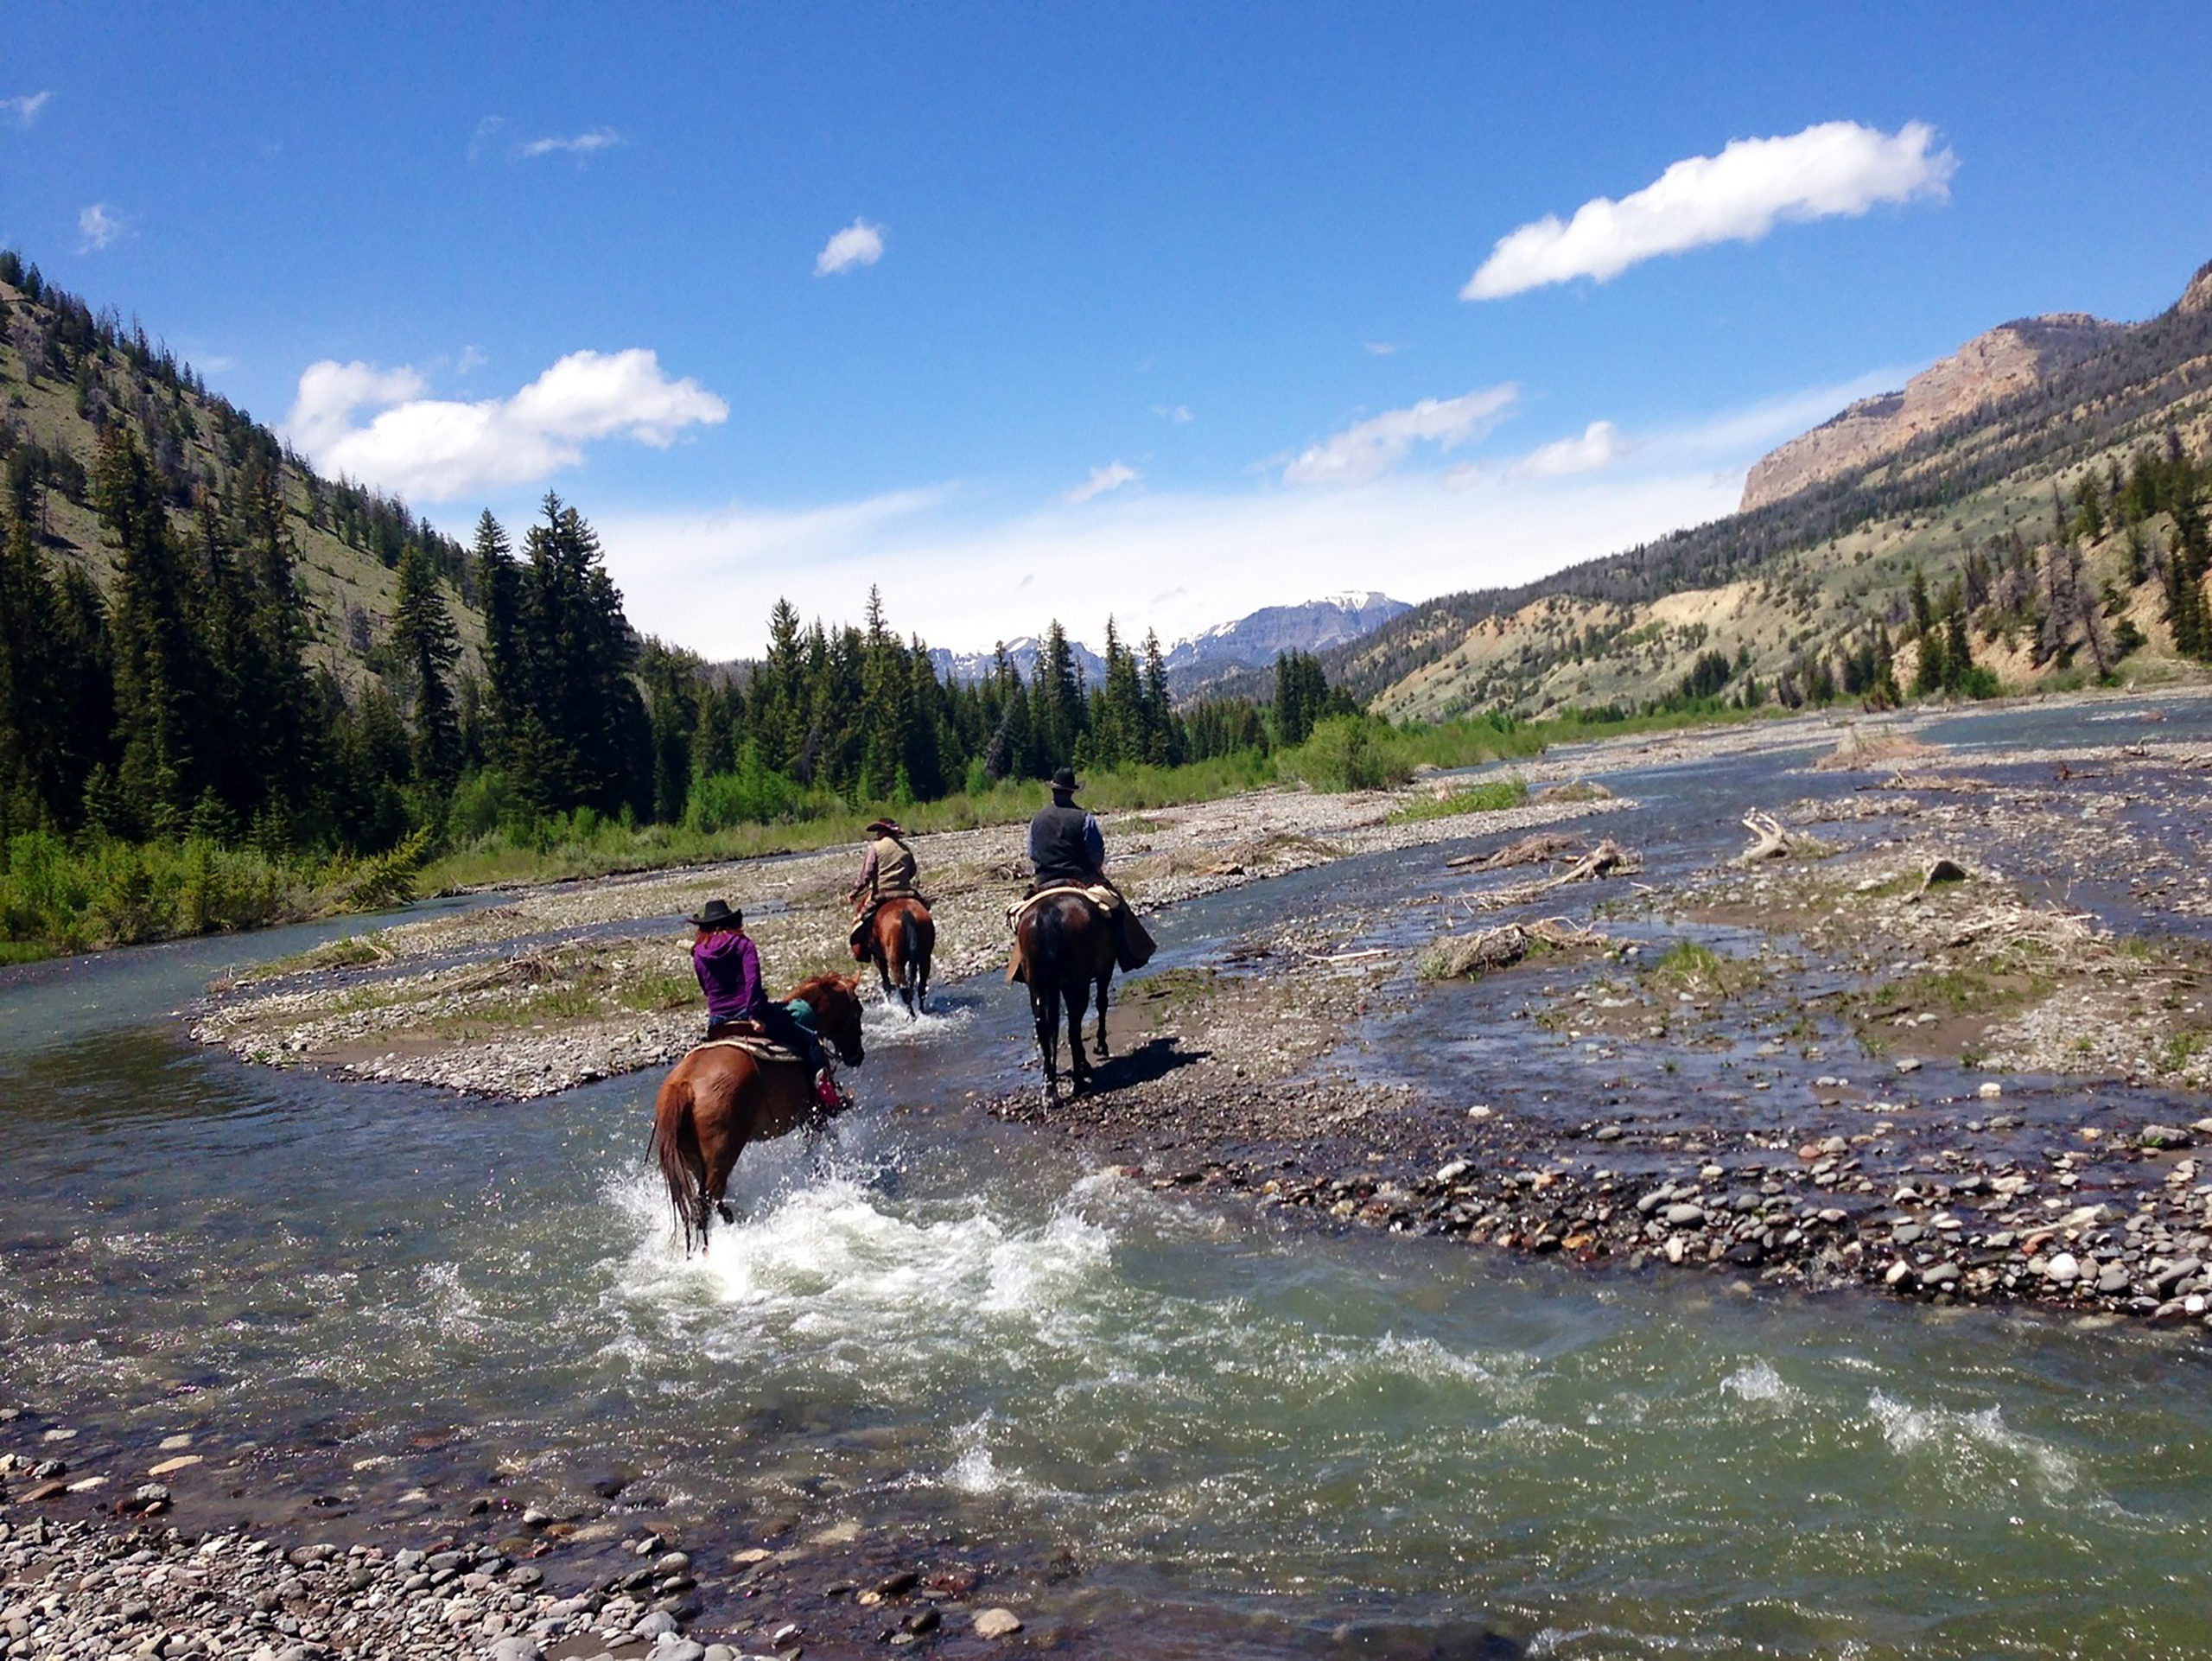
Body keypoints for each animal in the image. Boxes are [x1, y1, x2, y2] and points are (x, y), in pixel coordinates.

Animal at [645, 968, 862, 1256]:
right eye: (858, 1010)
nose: (857, 1056)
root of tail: (683, 1085)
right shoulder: (815, 1115)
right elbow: (821, 1147)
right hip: (721, 1154)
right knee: (706, 1202)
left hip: (694, 1161)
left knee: (707, 1204)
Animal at [858, 898, 938, 1013]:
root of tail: (906, 913)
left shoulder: (879, 958)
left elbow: (886, 984)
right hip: (925, 958)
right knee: (921, 988)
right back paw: (921, 1010)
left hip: (896, 962)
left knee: (905, 991)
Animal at [1017, 888, 1123, 1110]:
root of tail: (1045, 917)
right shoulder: (1105, 968)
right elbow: (1102, 1003)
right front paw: (1100, 1046)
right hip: (1077, 983)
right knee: (1074, 1027)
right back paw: (1079, 1083)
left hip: (1038, 987)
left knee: (1045, 1027)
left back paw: (1051, 1090)